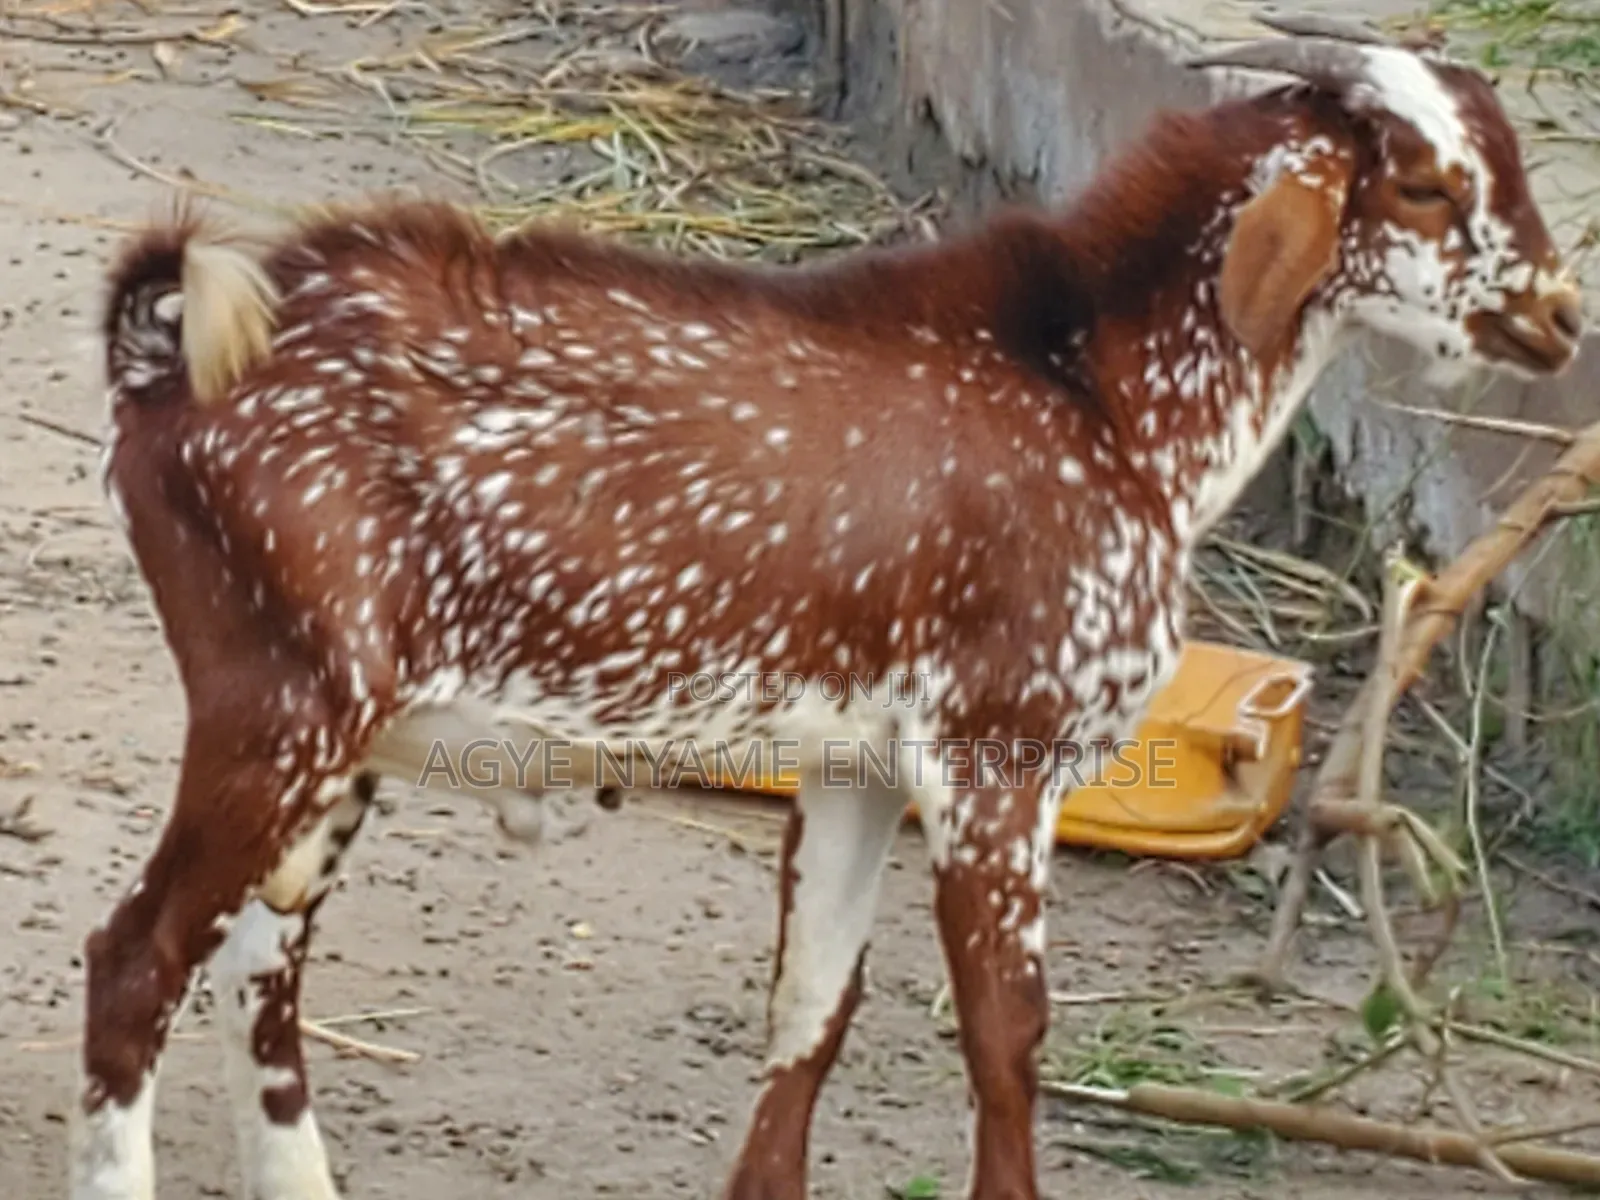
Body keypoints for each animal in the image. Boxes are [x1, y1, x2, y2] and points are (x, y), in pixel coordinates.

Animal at [71, 22, 1581, 1200]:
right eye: (1428, 185)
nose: (1562, 318)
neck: (1099, 397)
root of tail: (165, 358)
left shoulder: (858, 768)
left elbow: (814, 1006)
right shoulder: (995, 755)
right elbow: (1005, 1035)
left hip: (339, 745)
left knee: (259, 968)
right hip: (280, 702)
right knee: (135, 961)